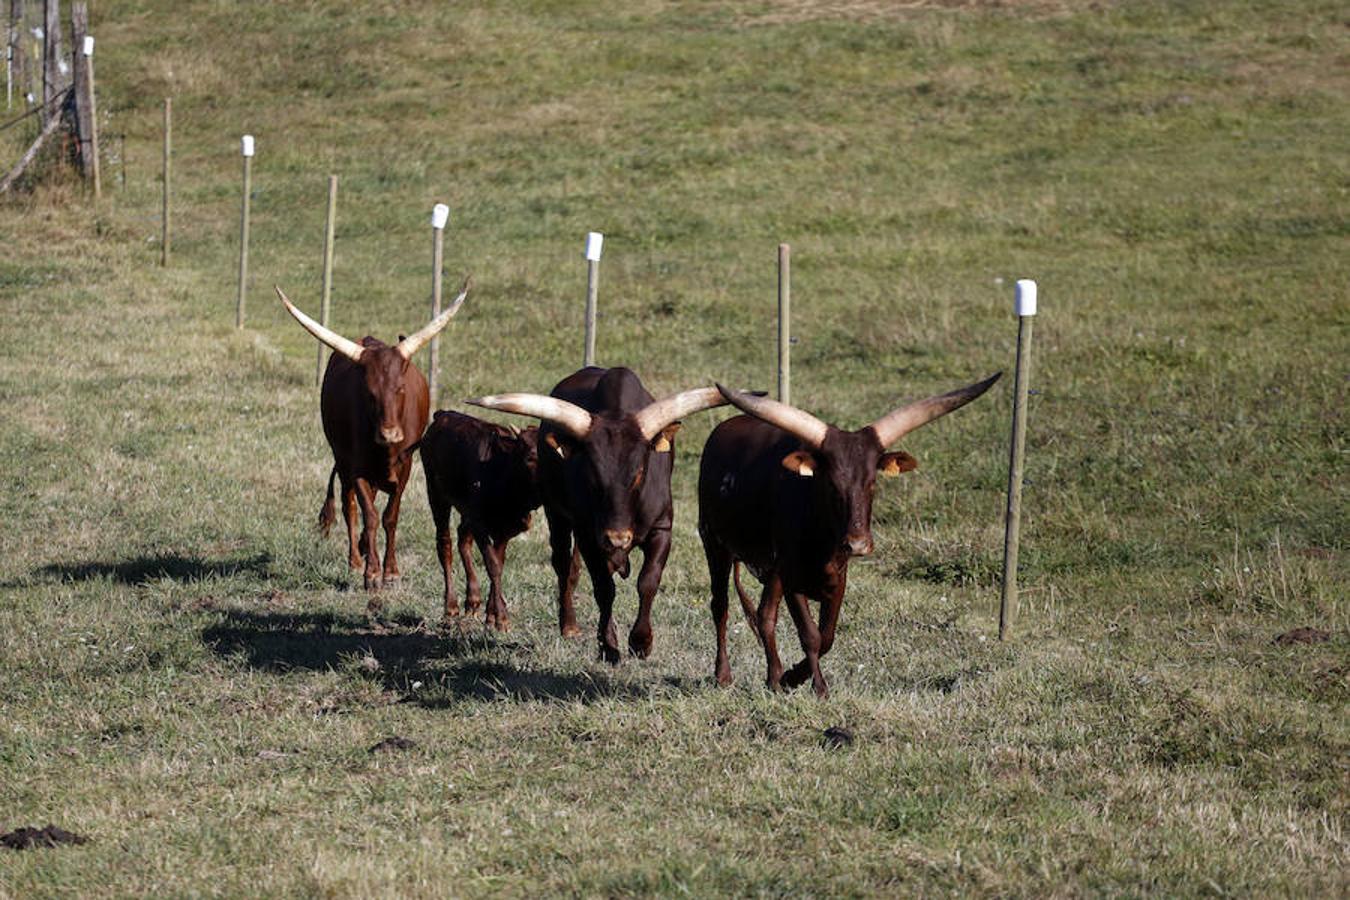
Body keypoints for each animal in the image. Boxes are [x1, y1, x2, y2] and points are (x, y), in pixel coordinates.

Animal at [275, 279, 470, 609]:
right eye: (369, 393)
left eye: (401, 389)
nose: (390, 434)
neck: (386, 451)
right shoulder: (357, 468)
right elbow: (369, 515)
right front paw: (372, 574)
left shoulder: (406, 467)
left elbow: (390, 517)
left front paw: (391, 572)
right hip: (341, 459)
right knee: (349, 506)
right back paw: (357, 558)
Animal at [418, 410, 541, 631]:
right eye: (531, 457)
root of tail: (443, 414)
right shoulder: (479, 523)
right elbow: (492, 564)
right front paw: (502, 618)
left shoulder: (504, 529)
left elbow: (498, 563)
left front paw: (492, 615)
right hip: (436, 493)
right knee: (445, 544)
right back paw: (451, 607)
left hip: (465, 511)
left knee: (462, 539)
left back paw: (473, 599)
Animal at [468, 367, 729, 663]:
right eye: (592, 472)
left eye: (639, 472)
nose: (617, 538)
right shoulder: (588, 536)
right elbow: (604, 589)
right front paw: (609, 645)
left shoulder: (662, 529)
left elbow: (648, 582)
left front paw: (641, 641)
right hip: (557, 515)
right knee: (564, 565)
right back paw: (569, 625)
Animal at [698, 373, 1001, 697]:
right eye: (831, 484)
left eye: (872, 483)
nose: (858, 544)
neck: (821, 535)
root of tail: (723, 429)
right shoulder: (792, 577)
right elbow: (810, 635)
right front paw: (818, 687)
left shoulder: (836, 577)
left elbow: (827, 636)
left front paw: (792, 677)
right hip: (714, 543)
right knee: (720, 606)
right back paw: (723, 674)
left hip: (770, 568)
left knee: (765, 614)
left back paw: (774, 677)